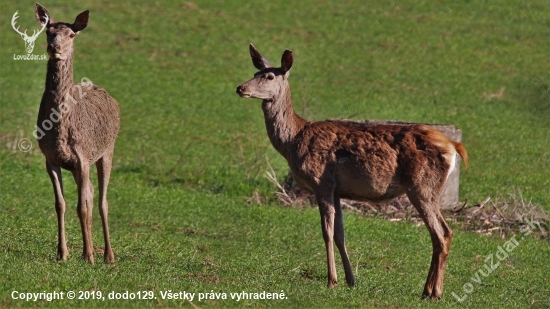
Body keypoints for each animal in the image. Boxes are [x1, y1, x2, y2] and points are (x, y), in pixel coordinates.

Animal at [35, 3, 121, 264]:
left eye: (72, 34)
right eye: (48, 31)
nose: (54, 47)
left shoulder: (83, 156)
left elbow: (81, 207)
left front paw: (89, 256)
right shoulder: (51, 159)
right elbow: (60, 204)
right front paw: (63, 253)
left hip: (107, 150)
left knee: (102, 200)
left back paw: (108, 256)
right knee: (91, 193)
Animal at [237, 44, 470, 298]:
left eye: (269, 76)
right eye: (255, 72)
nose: (240, 88)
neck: (293, 140)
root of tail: (453, 146)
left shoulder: (322, 182)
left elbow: (327, 231)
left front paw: (331, 280)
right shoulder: (338, 190)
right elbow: (340, 234)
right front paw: (350, 280)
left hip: (422, 186)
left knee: (442, 233)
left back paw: (434, 292)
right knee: (440, 234)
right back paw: (427, 290)